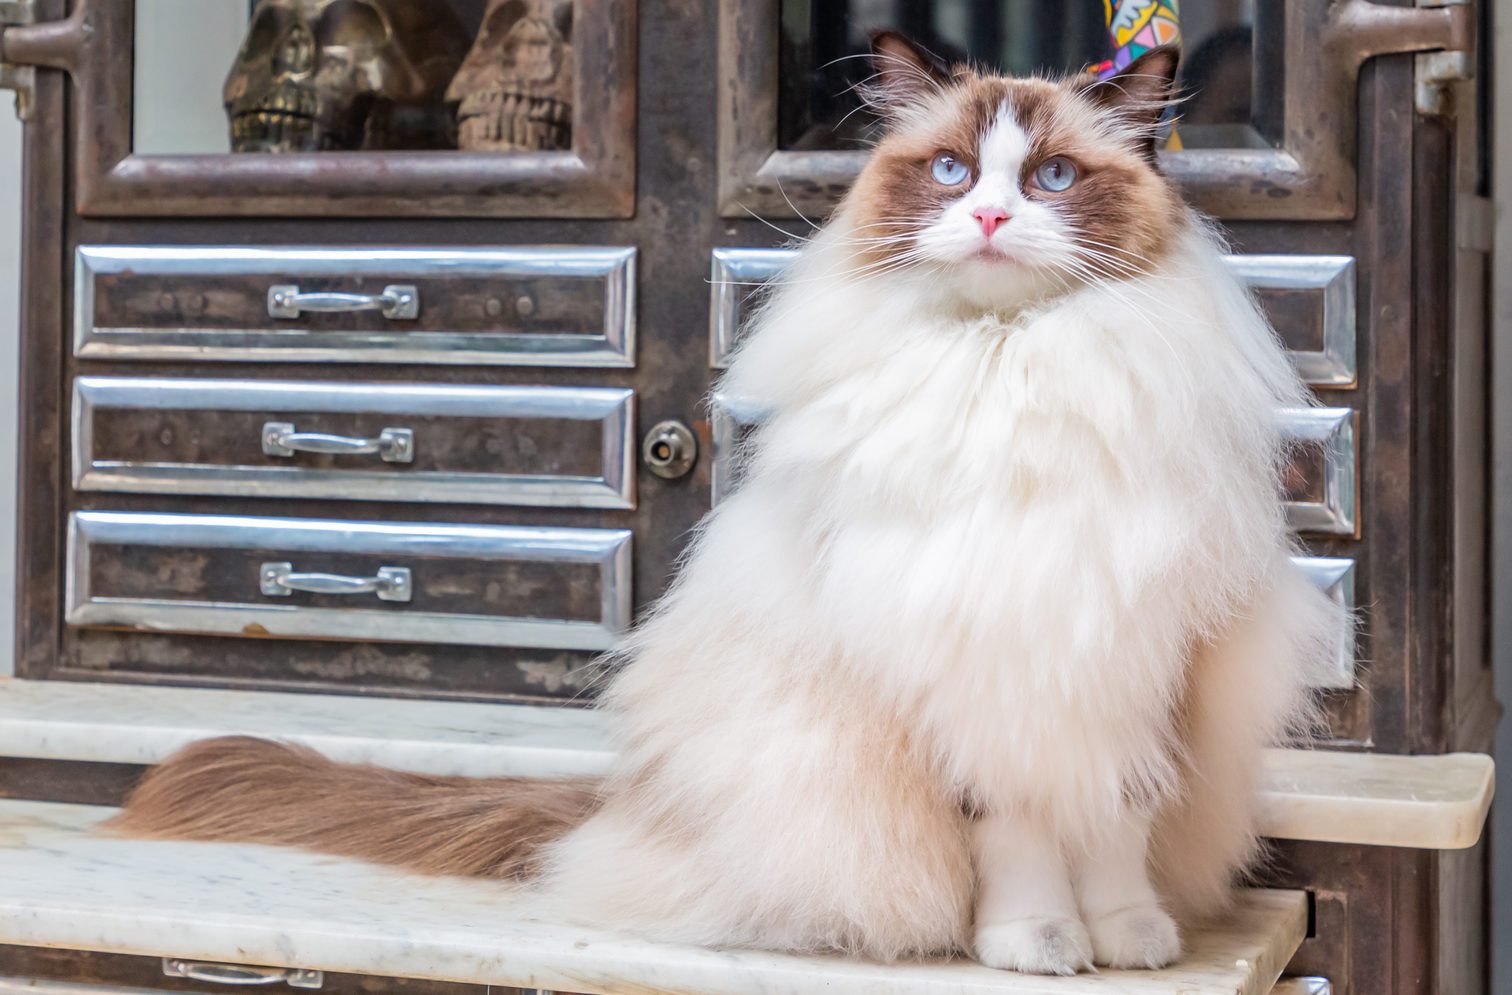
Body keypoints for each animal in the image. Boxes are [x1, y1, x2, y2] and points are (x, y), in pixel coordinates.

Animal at [114, 34, 1336, 973]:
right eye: (950, 172)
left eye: (1051, 182)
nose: (990, 221)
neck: (1011, 370)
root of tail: (622, 804)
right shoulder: (974, 672)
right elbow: (1024, 834)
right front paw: (1038, 945)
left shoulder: (1137, 659)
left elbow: (1117, 825)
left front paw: (1132, 941)